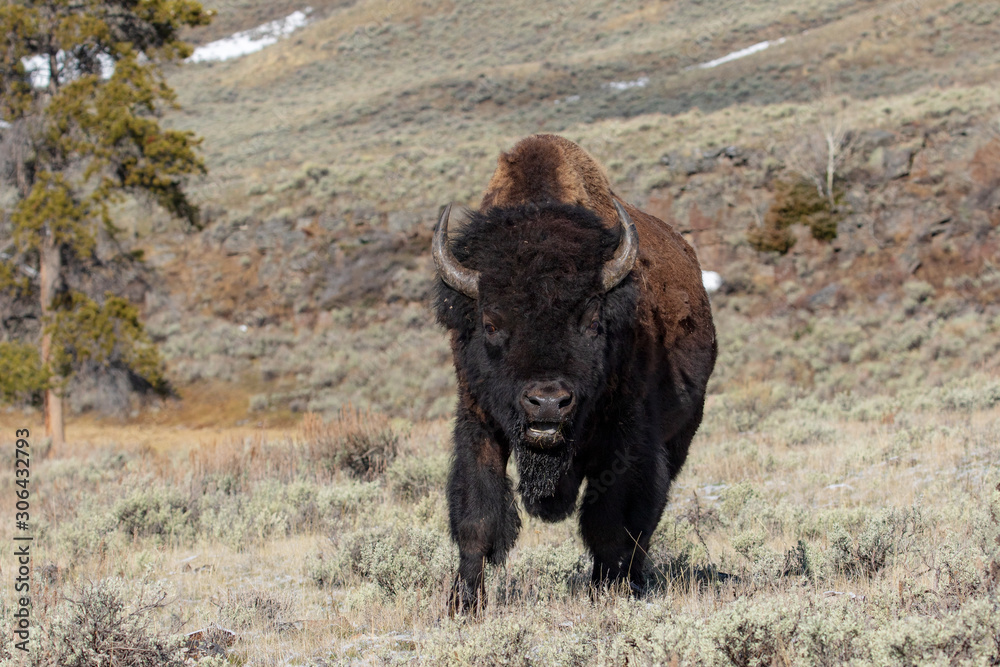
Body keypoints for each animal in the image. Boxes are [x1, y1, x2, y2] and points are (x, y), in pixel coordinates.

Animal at [434, 133, 716, 612]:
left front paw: (605, 592)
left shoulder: (624, 441)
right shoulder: (479, 423)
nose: (548, 403)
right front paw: (464, 604)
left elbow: (611, 525)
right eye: (490, 322)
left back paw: (632, 582)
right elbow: (476, 518)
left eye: (591, 320)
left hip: (680, 435)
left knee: (645, 523)